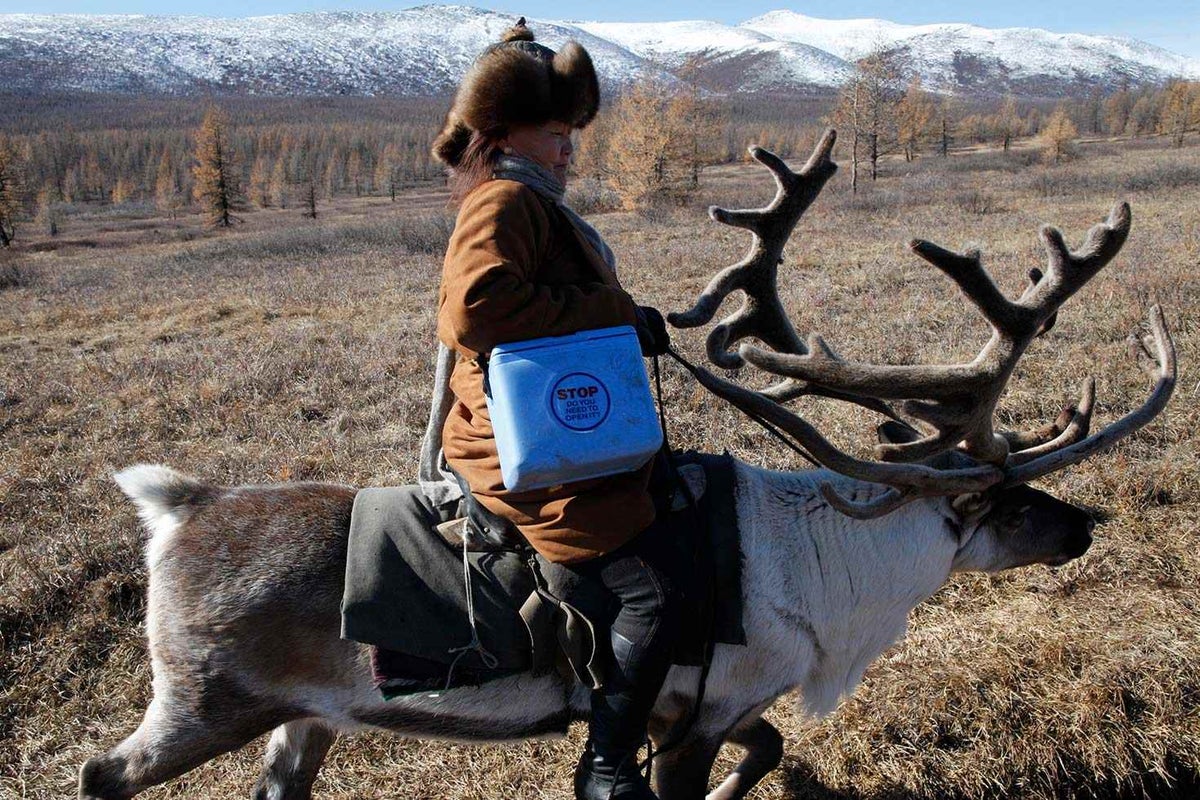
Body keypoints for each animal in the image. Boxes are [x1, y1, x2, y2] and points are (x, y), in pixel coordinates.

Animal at [79, 130, 1175, 800]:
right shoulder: (695, 705)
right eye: (1005, 496)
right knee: (100, 774)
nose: (1085, 524)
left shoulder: (710, 706)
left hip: (306, 719)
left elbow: (772, 747)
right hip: (201, 705)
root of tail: (179, 508)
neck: (835, 566)